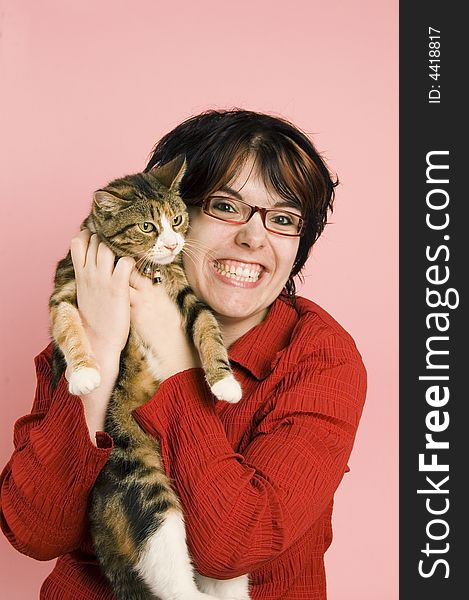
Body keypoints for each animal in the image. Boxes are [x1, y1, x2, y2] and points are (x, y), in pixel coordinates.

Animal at [48, 155, 249, 600]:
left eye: (177, 219)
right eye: (146, 226)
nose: (173, 244)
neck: (141, 268)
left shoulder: (187, 292)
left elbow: (207, 327)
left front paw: (223, 381)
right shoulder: (66, 286)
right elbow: (67, 325)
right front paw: (83, 374)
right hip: (139, 473)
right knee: (167, 564)